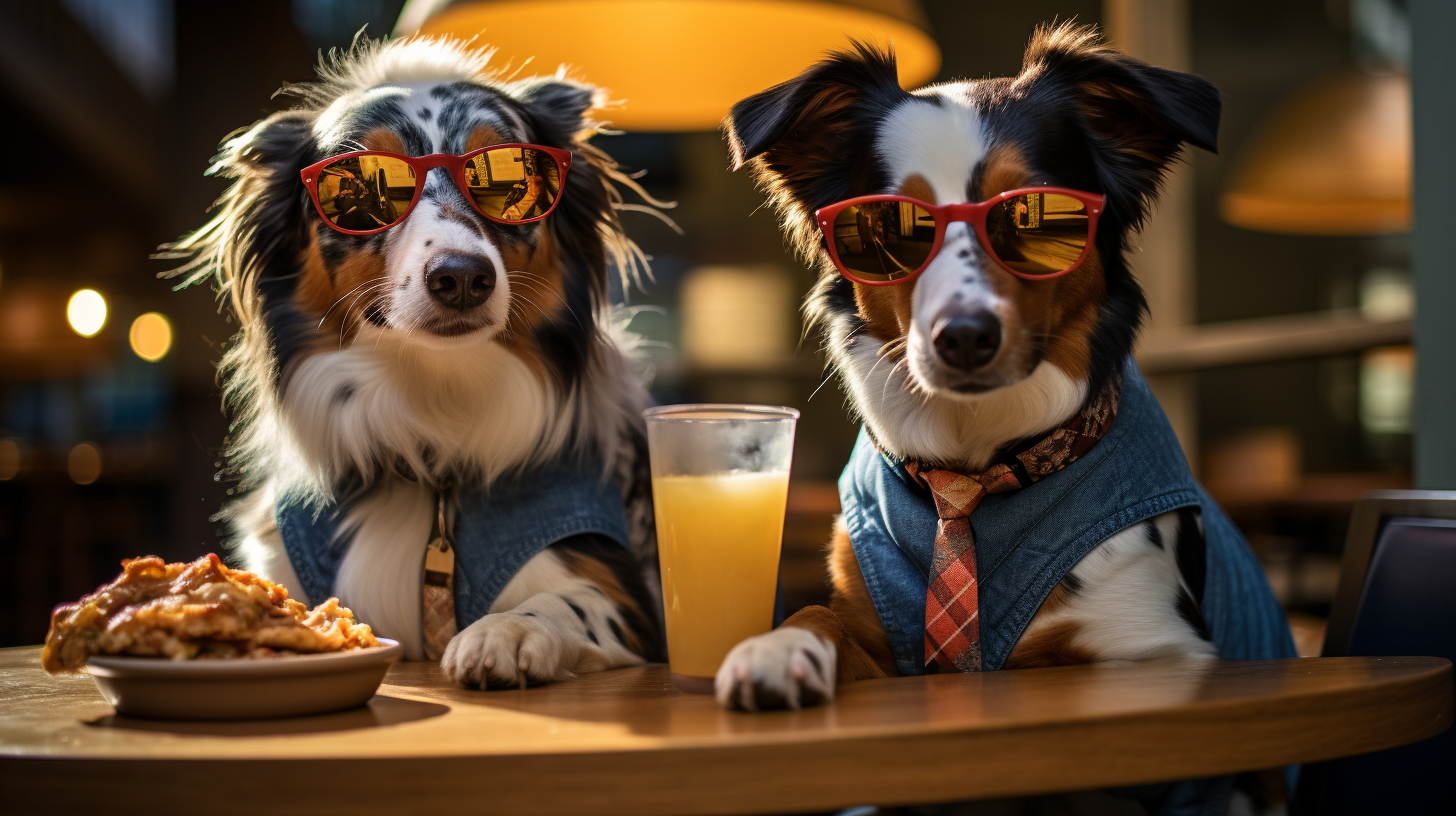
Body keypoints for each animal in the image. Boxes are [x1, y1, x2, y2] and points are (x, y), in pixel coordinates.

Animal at [170, 39, 666, 687]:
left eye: (516, 173)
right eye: (363, 188)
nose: (462, 277)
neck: (433, 425)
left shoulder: (622, 588)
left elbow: (562, 602)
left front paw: (509, 631)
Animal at [716, 25, 1228, 711]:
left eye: (1029, 209)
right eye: (885, 222)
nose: (963, 338)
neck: (971, 472)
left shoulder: (1152, 642)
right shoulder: (877, 636)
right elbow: (818, 614)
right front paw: (775, 649)